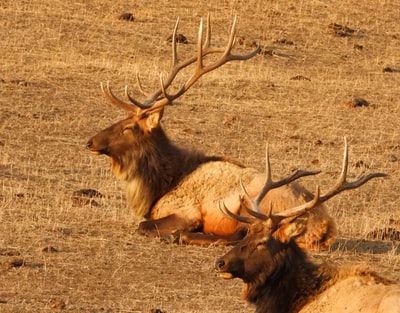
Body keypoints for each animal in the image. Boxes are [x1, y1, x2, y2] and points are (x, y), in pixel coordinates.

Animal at [85, 15, 378, 246]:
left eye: (128, 127)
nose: (90, 141)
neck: (160, 184)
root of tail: (324, 226)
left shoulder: (185, 211)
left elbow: (144, 226)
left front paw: (175, 233)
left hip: (253, 205)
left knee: (241, 235)